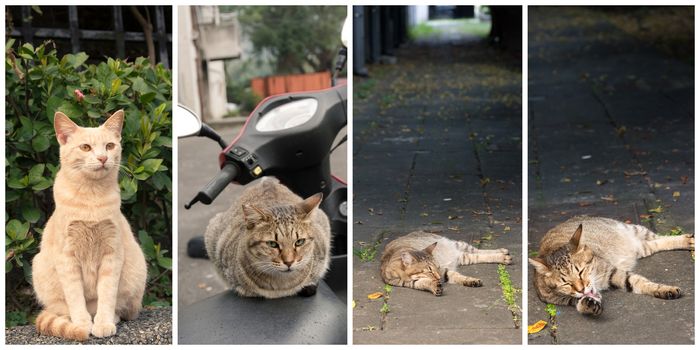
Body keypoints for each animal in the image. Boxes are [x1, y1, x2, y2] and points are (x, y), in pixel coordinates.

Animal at [33, 111, 148, 340]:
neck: (91, 196)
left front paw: (103, 323)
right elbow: (75, 297)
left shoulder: (112, 254)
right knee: (61, 309)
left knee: (122, 309)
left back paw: (111, 317)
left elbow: (107, 294)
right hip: (39, 267)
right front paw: (81, 325)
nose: (103, 158)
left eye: (110, 146)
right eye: (85, 147)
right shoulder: (67, 257)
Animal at [382, 231, 516, 296]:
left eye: (437, 267)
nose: (438, 277)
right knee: (477, 255)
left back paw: (503, 255)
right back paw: (503, 254)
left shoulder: (443, 271)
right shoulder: (411, 283)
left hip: (459, 245)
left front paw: (470, 280)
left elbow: (457, 276)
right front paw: (434, 286)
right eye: (430, 270)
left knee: (477, 251)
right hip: (463, 256)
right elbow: (425, 283)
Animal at [532, 216, 696, 318]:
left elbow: (640, 282)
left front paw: (664, 289)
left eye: (581, 272)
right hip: (642, 248)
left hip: (634, 229)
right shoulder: (564, 300)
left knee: (660, 237)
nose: (581, 289)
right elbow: (579, 303)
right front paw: (588, 304)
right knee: (655, 244)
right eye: (566, 283)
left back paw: (687, 240)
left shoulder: (612, 271)